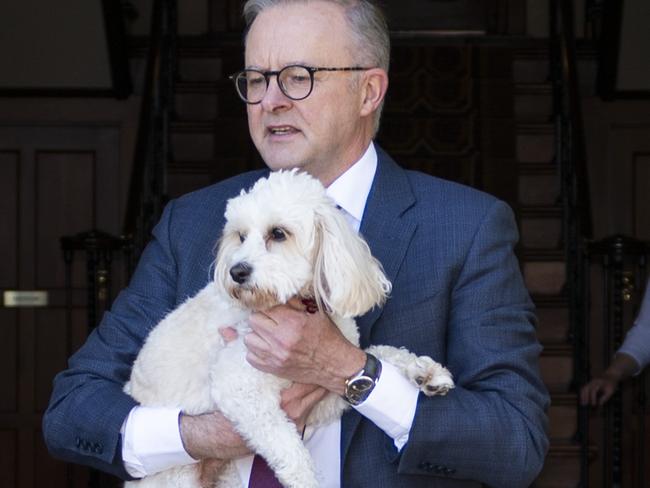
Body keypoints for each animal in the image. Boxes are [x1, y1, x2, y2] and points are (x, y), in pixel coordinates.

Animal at [124, 170, 454, 486]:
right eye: (241, 236)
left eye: (278, 233)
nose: (236, 271)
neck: (295, 302)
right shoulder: (240, 387)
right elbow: (289, 449)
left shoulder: (324, 395)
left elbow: (381, 354)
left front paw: (425, 371)